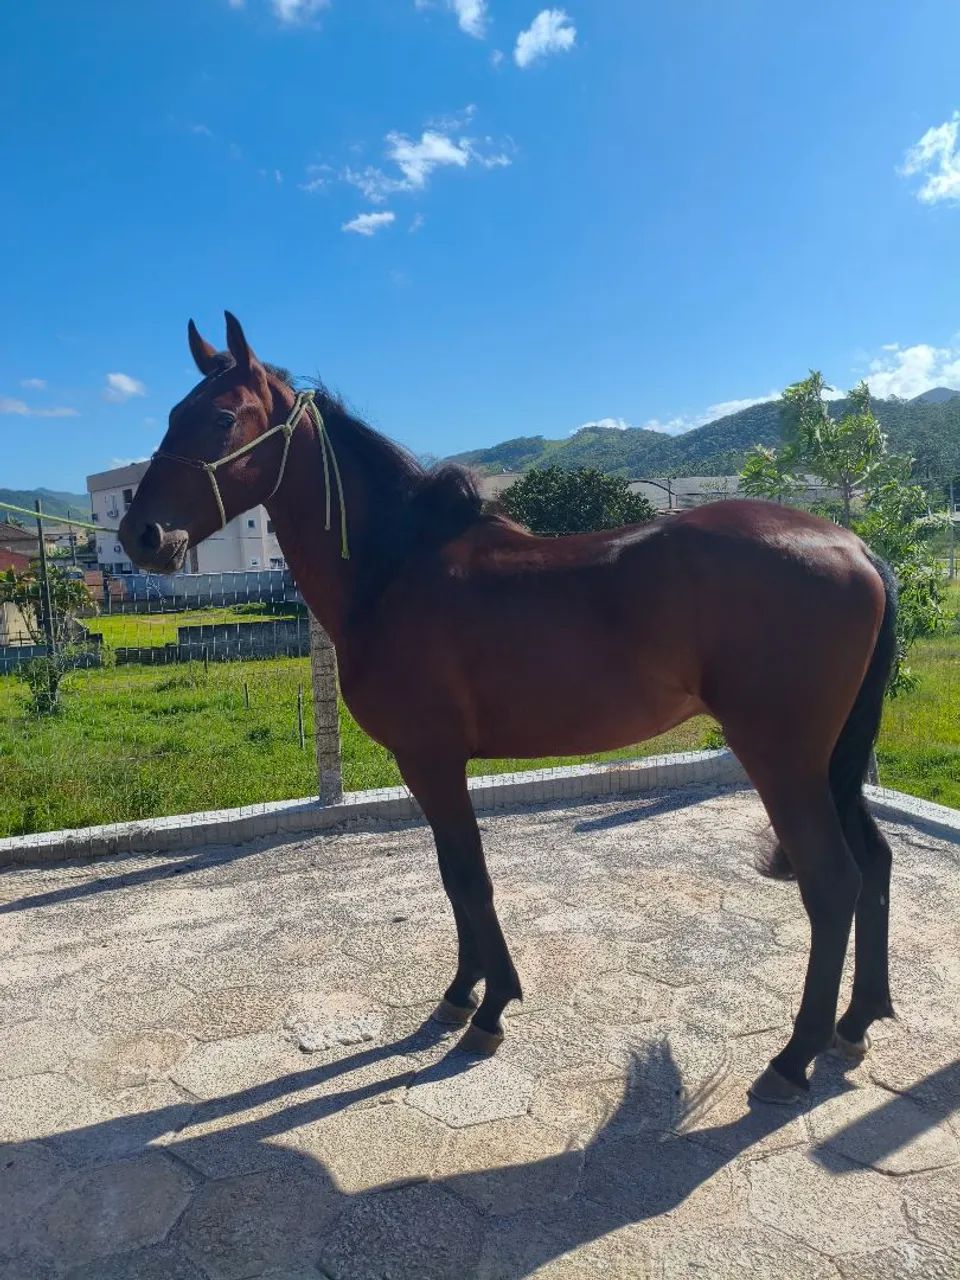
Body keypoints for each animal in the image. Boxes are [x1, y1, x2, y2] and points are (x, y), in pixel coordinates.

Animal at [120, 312, 897, 1105]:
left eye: (221, 417)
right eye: (173, 414)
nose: (141, 536)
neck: (395, 568)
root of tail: (856, 547)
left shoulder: (432, 760)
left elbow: (469, 876)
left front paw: (489, 1009)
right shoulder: (428, 767)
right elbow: (450, 874)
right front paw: (460, 994)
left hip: (782, 758)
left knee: (833, 882)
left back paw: (792, 1057)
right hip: (827, 761)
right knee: (875, 862)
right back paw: (856, 1023)